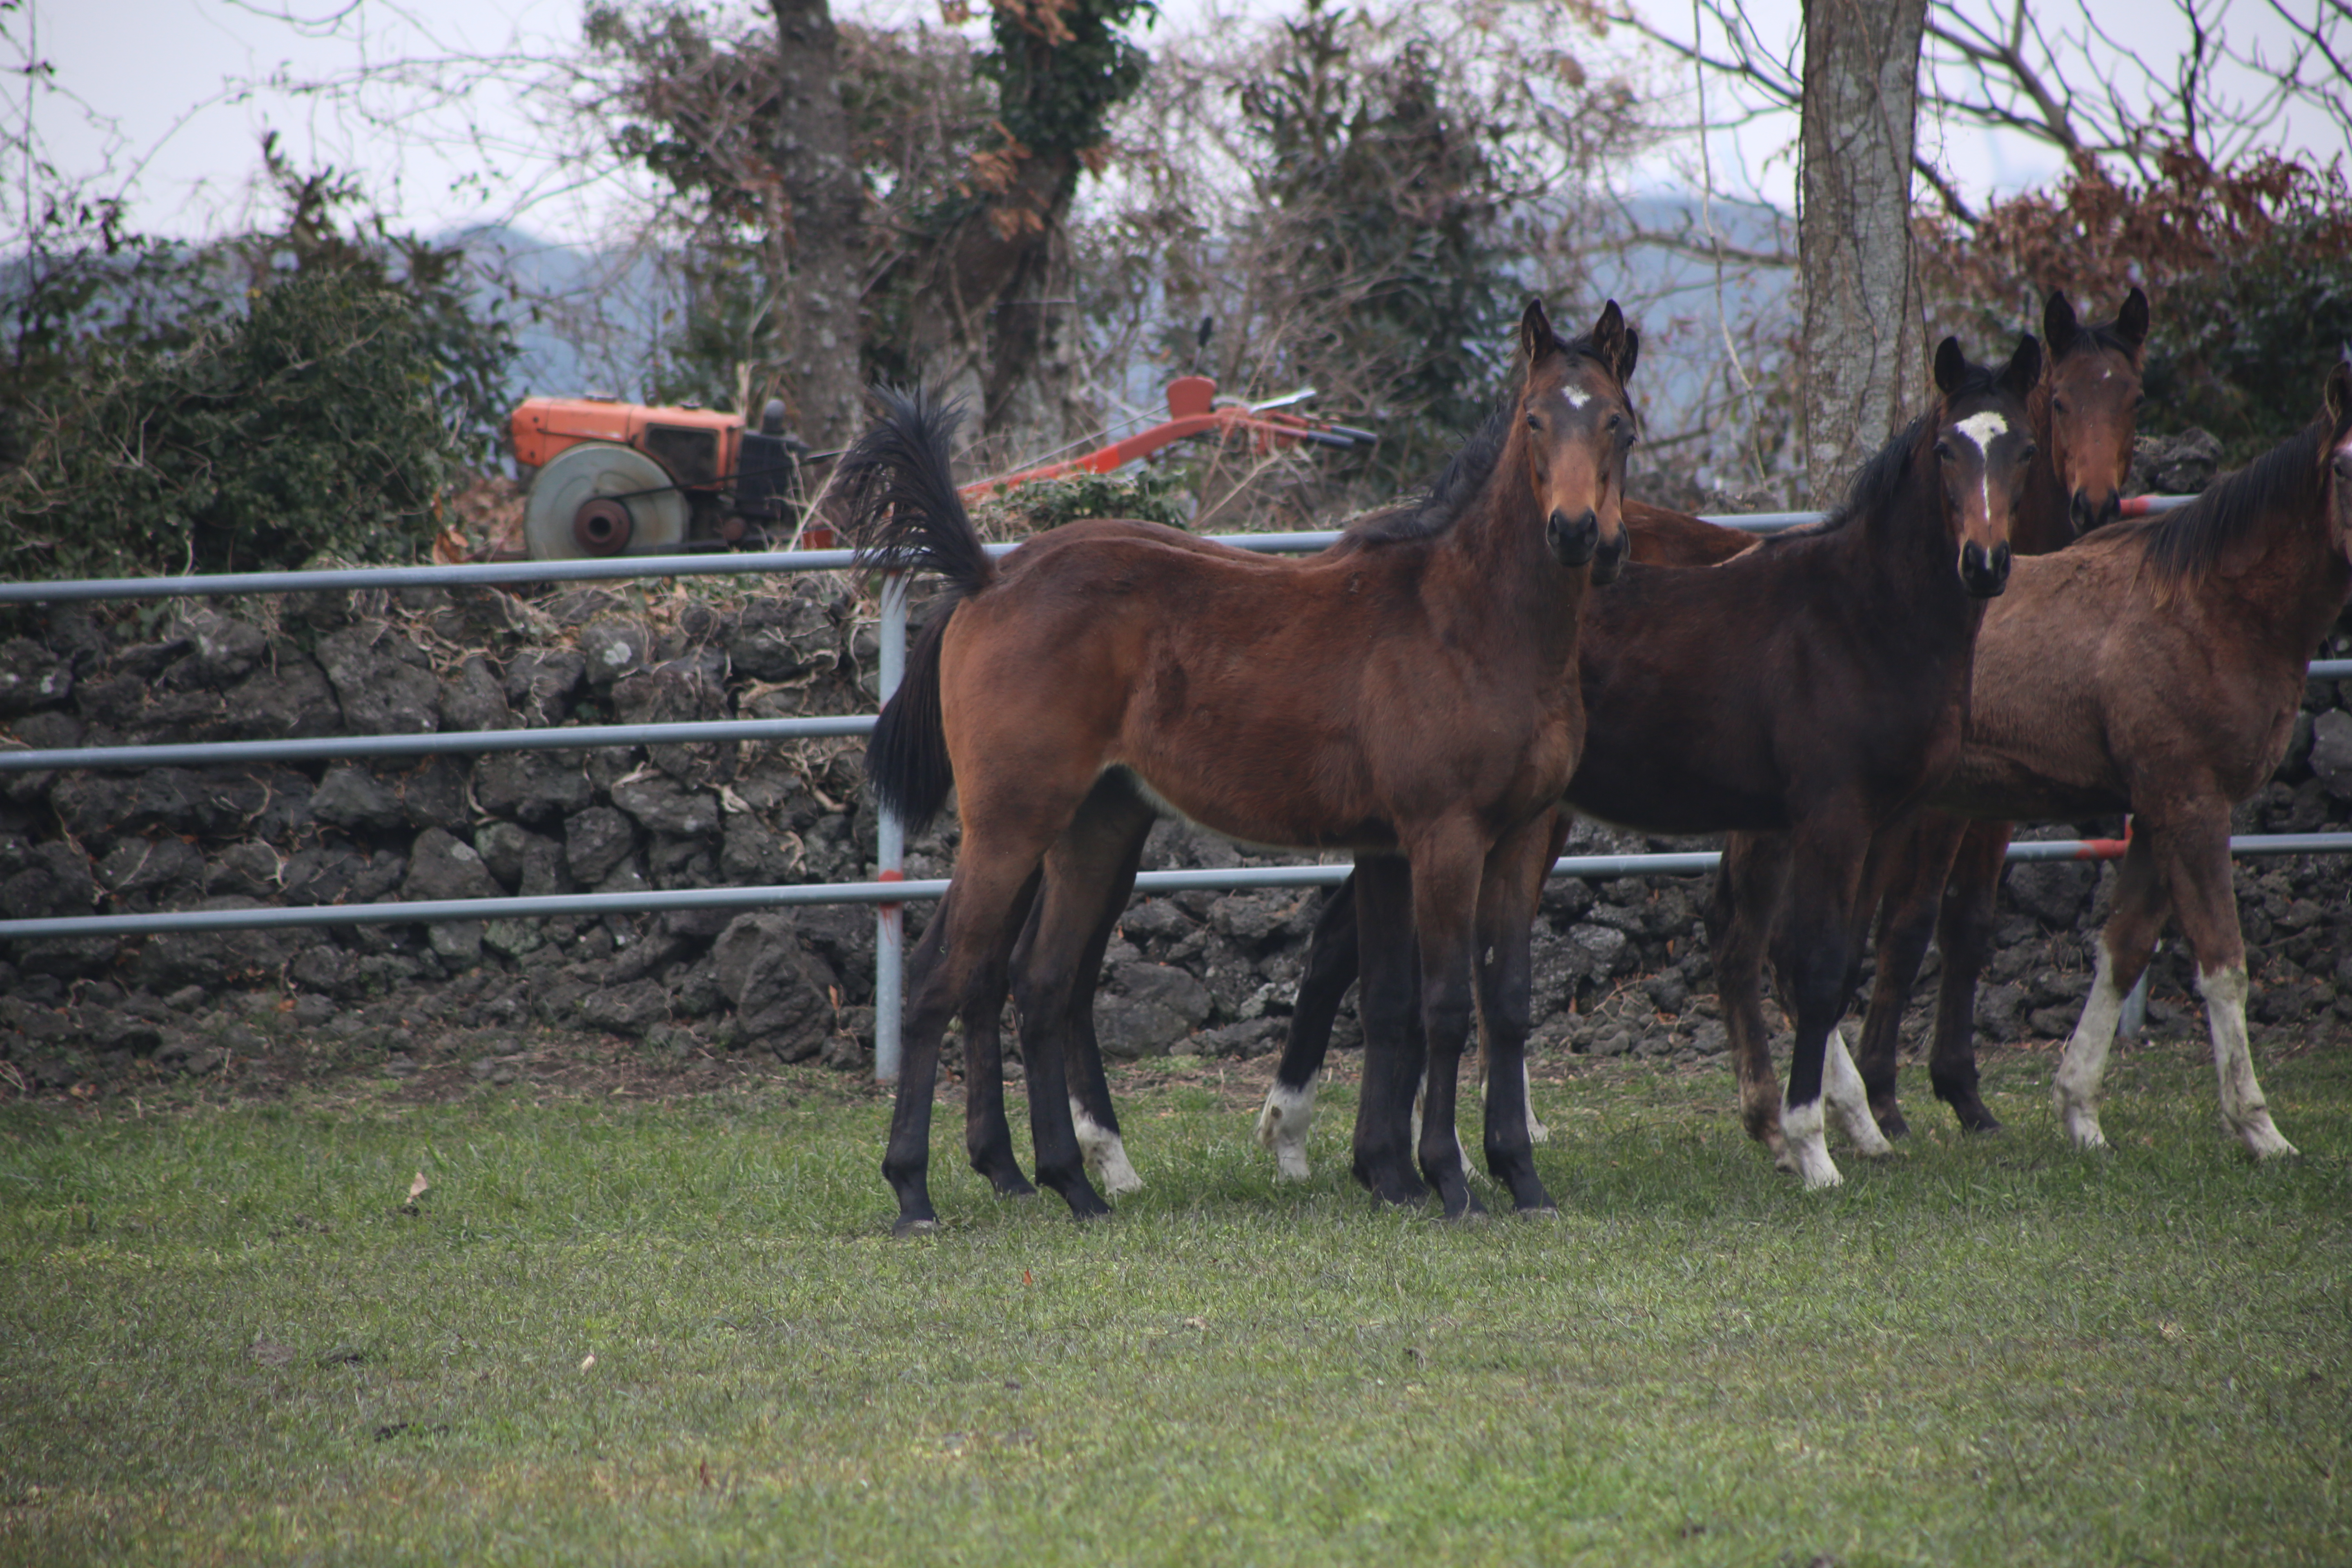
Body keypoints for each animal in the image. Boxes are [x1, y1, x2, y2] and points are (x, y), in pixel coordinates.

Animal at [842, 301, 1637, 1232]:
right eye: (1535, 420)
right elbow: (1441, 1005)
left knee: (1038, 983)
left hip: (1093, 825)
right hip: (1011, 825)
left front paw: (1510, 1178)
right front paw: (1448, 1180)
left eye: (1618, 423)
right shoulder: (1443, 836)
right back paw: (915, 1190)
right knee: (942, 977)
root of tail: (988, 575)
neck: (1471, 620)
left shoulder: (1502, 839)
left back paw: (1071, 1184)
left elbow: (1487, 1004)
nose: (1578, 533)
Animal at [1891, 350, 2352, 1161]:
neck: (2212, 609)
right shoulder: (2192, 803)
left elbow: (2125, 947)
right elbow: (2223, 963)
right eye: (2342, 467)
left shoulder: (2159, 812)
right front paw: (2260, 1128)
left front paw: (2081, 1113)